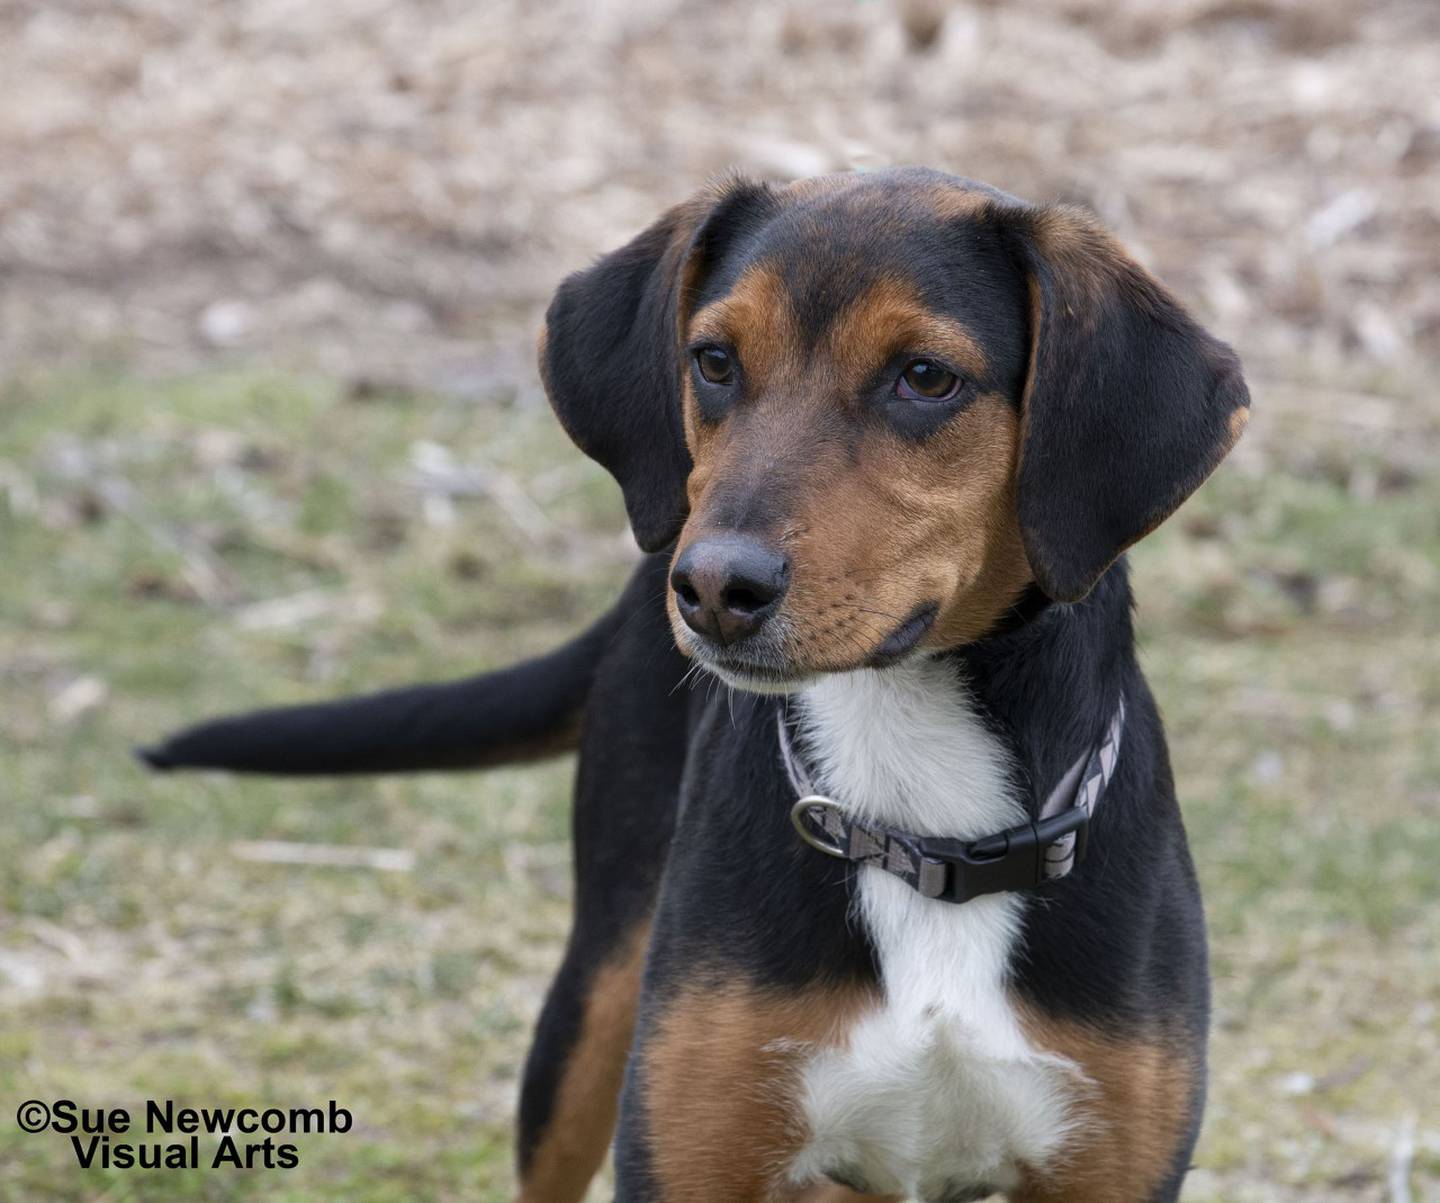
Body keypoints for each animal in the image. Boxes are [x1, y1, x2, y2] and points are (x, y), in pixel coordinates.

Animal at [143, 171, 1249, 1203]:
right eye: (714, 361)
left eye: (926, 378)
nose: (714, 585)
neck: (916, 817)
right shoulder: (692, 1144)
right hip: (592, 1008)